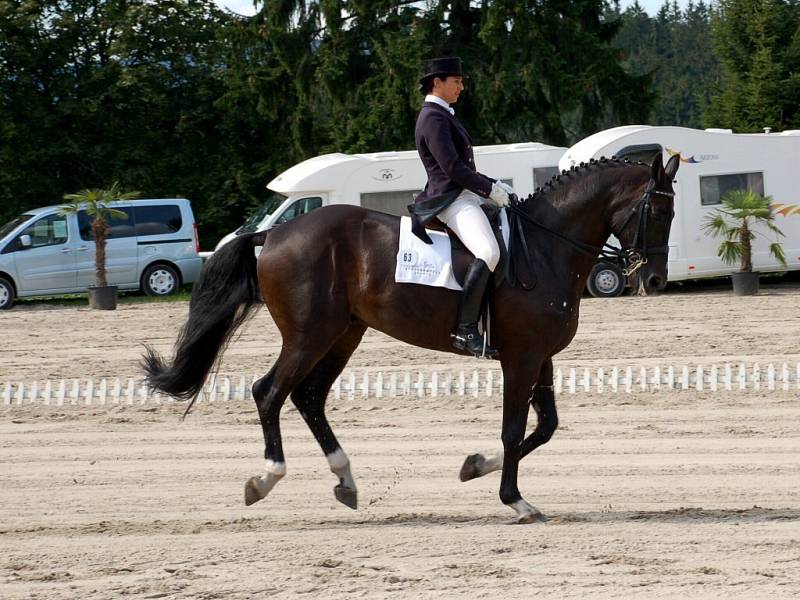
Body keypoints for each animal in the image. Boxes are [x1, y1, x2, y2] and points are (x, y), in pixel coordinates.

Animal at [141, 152, 680, 524]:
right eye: (656, 212)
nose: (654, 280)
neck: (547, 247)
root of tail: (272, 235)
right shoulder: (521, 357)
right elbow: (513, 429)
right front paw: (516, 501)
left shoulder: (540, 356)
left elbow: (545, 426)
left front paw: (474, 466)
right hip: (309, 335)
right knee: (269, 392)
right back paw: (264, 479)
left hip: (343, 334)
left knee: (309, 396)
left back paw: (345, 480)